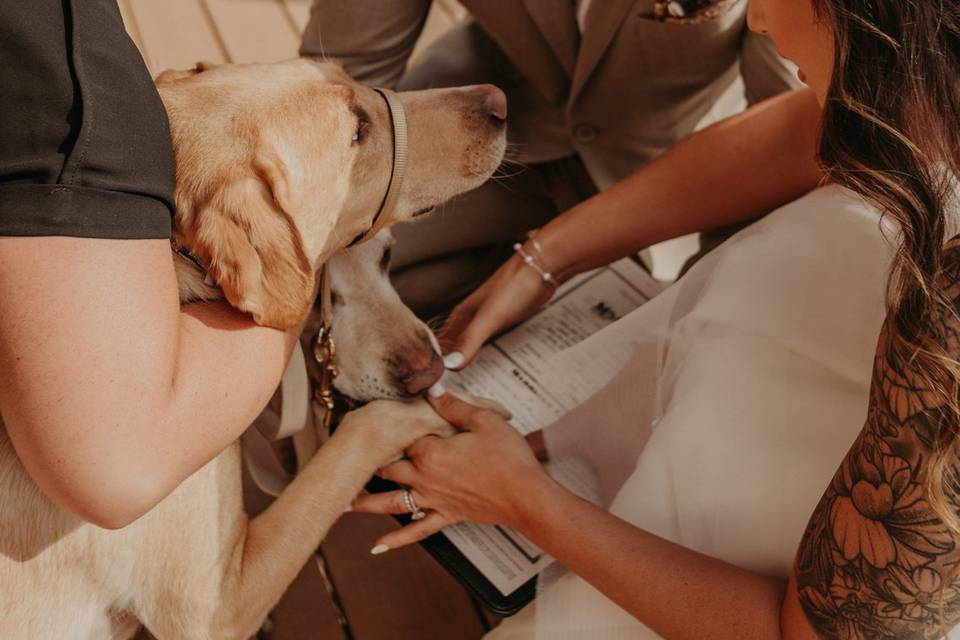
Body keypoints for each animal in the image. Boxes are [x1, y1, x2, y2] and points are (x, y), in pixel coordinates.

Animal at [0, 60, 510, 640]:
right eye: (357, 131)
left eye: (387, 258)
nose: (498, 101)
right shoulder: (214, 610)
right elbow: (361, 433)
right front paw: (446, 413)